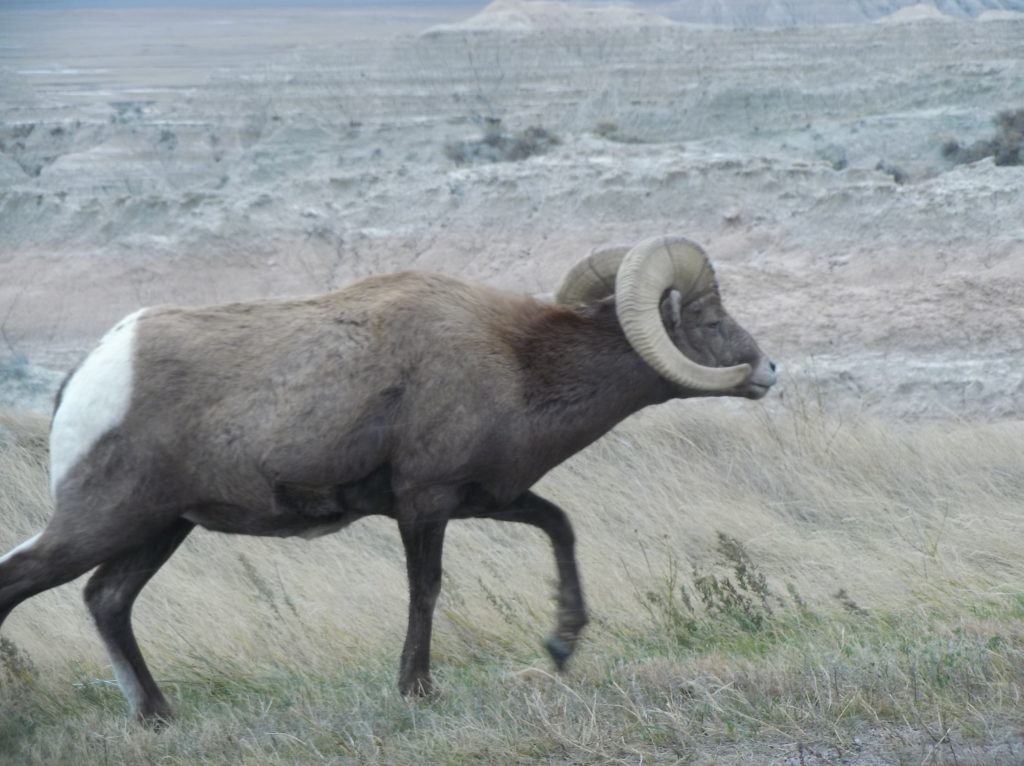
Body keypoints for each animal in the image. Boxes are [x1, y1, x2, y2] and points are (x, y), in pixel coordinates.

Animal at [0, 233, 770, 716]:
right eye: (707, 318)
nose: (768, 371)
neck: (518, 366)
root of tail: (93, 370)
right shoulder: (424, 503)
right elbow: (425, 589)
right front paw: (418, 690)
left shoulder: (485, 498)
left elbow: (560, 527)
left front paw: (560, 646)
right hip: (105, 523)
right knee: (26, 583)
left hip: (157, 532)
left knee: (107, 602)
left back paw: (157, 715)